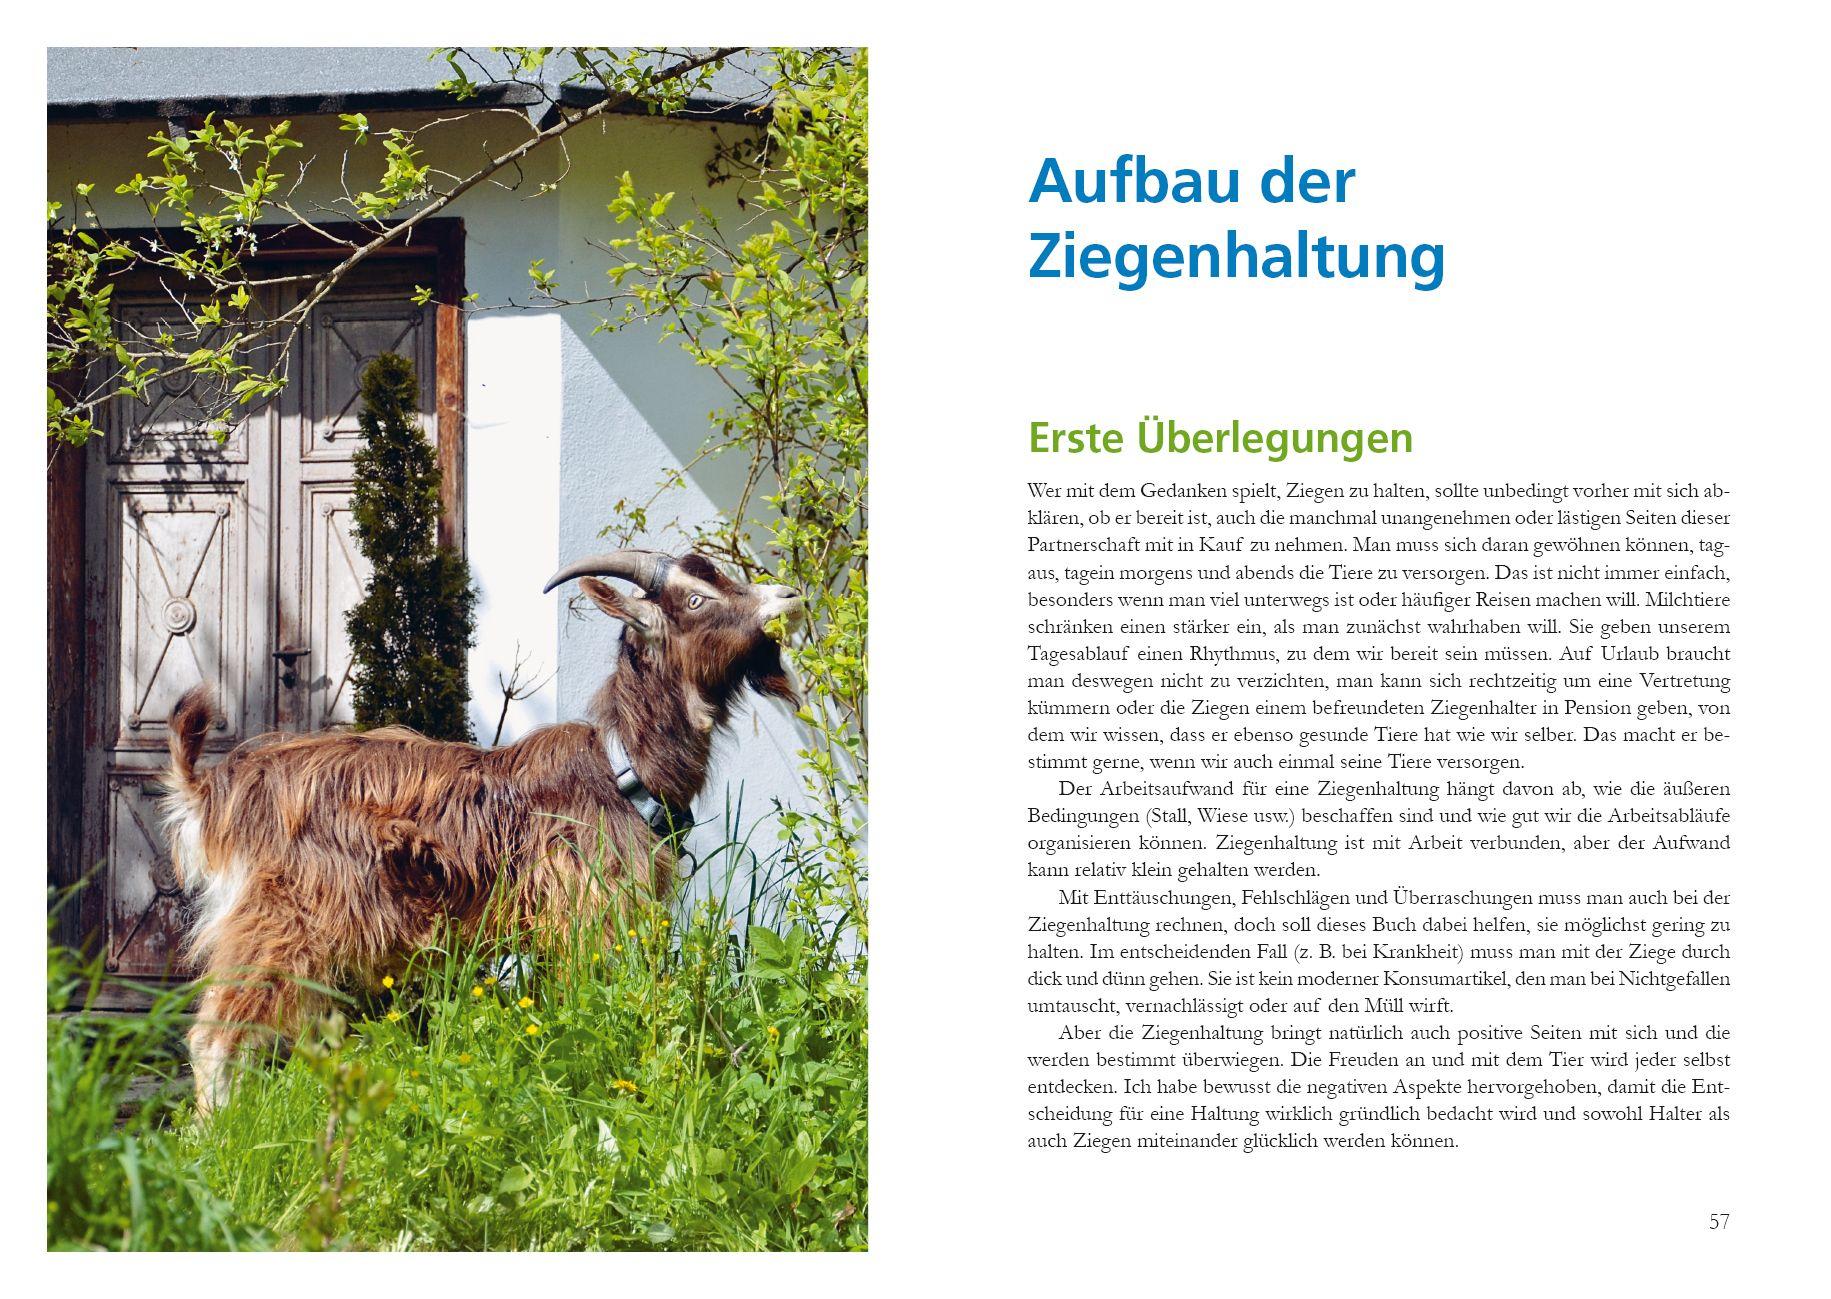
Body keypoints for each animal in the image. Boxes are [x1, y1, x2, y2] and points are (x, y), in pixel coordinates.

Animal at [162, 549, 801, 1114]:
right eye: (695, 599)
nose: (789, 596)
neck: (623, 770)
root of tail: (215, 789)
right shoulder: (591, 915)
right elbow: (595, 1005)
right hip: (278, 923)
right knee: (217, 1035)